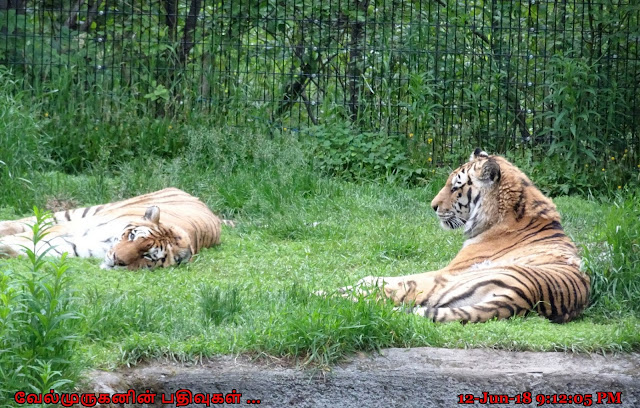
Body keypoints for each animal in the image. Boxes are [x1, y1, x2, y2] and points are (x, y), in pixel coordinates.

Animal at [0, 188, 225, 270]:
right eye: (133, 236)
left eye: (148, 256)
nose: (117, 260)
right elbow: (28, 237)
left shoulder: (76, 246)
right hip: (79, 213)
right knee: (28, 221)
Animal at [336, 148, 592, 324]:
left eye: (455, 187)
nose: (433, 206)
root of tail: (527, 296)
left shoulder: (449, 270)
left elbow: (389, 279)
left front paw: (359, 282)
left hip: (449, 282)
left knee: (390, 292)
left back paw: (333, 293)